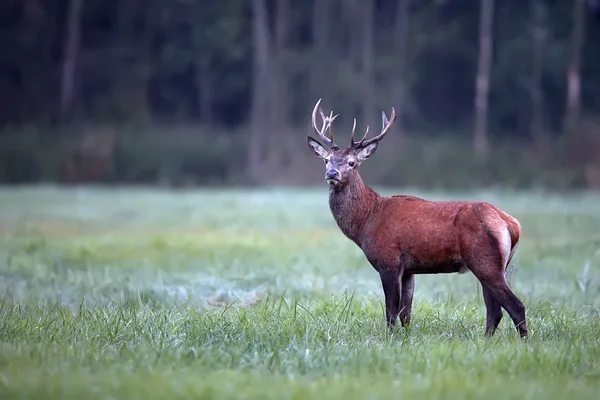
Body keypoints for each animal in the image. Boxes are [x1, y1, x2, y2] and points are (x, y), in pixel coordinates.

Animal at [308, 99, 528, 338]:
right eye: (327, 160)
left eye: (351, 162)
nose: (332, 174)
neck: (366, 222)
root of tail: (511, 224)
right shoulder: (409, 270)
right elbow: (406, 314)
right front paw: (405, 338)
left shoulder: (389, 261)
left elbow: (391, 312)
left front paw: (388, 338)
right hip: (497, 264)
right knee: (495, 311)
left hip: (485, 260)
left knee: (516, 306)